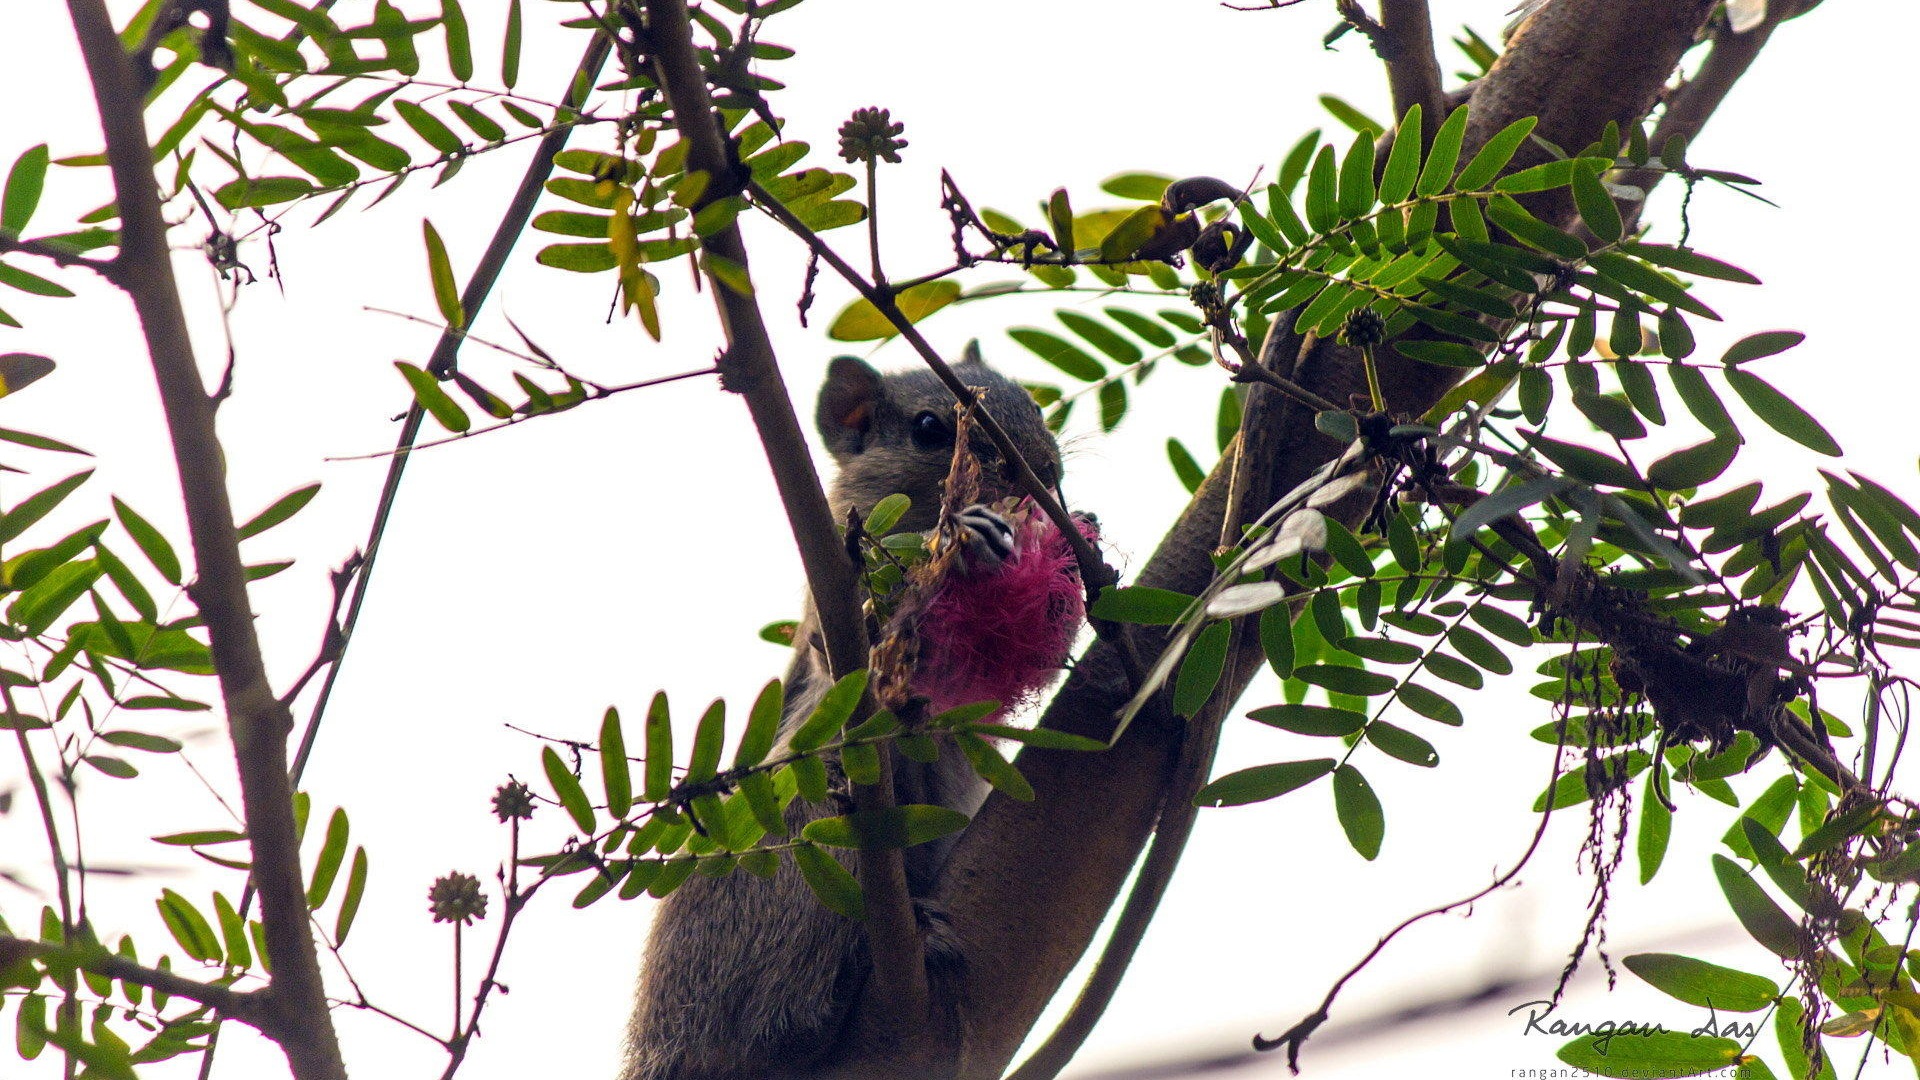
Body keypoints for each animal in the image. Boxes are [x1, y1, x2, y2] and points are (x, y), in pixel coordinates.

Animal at [622, 345, 1090, 1076]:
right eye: (929, 429)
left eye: (1033, 403)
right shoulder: (832, 620)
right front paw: (973, 544)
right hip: (806, 840)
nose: (1045, 472)